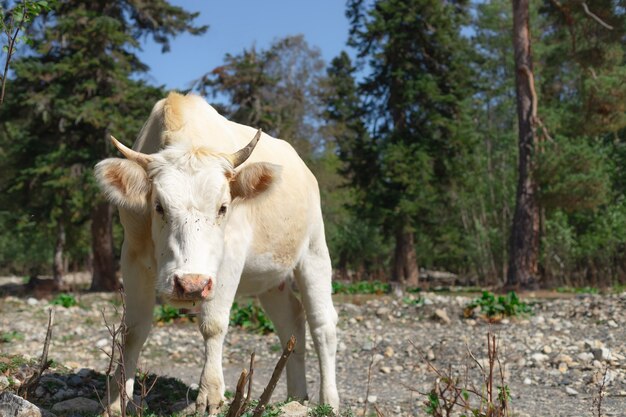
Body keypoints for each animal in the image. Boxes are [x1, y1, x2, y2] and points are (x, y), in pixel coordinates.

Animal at [94, 91, 336, 412]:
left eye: (223, 207)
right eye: (158, 206)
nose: (191, 284)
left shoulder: (231, 255)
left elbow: (213, 324)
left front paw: (210, 394)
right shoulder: (132, 254)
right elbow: (133, 330)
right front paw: (116, 401)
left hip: (313, 248)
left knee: (323, 323)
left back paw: (329, 401)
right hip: (271, 277)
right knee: (291, 321)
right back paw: (296, 397)